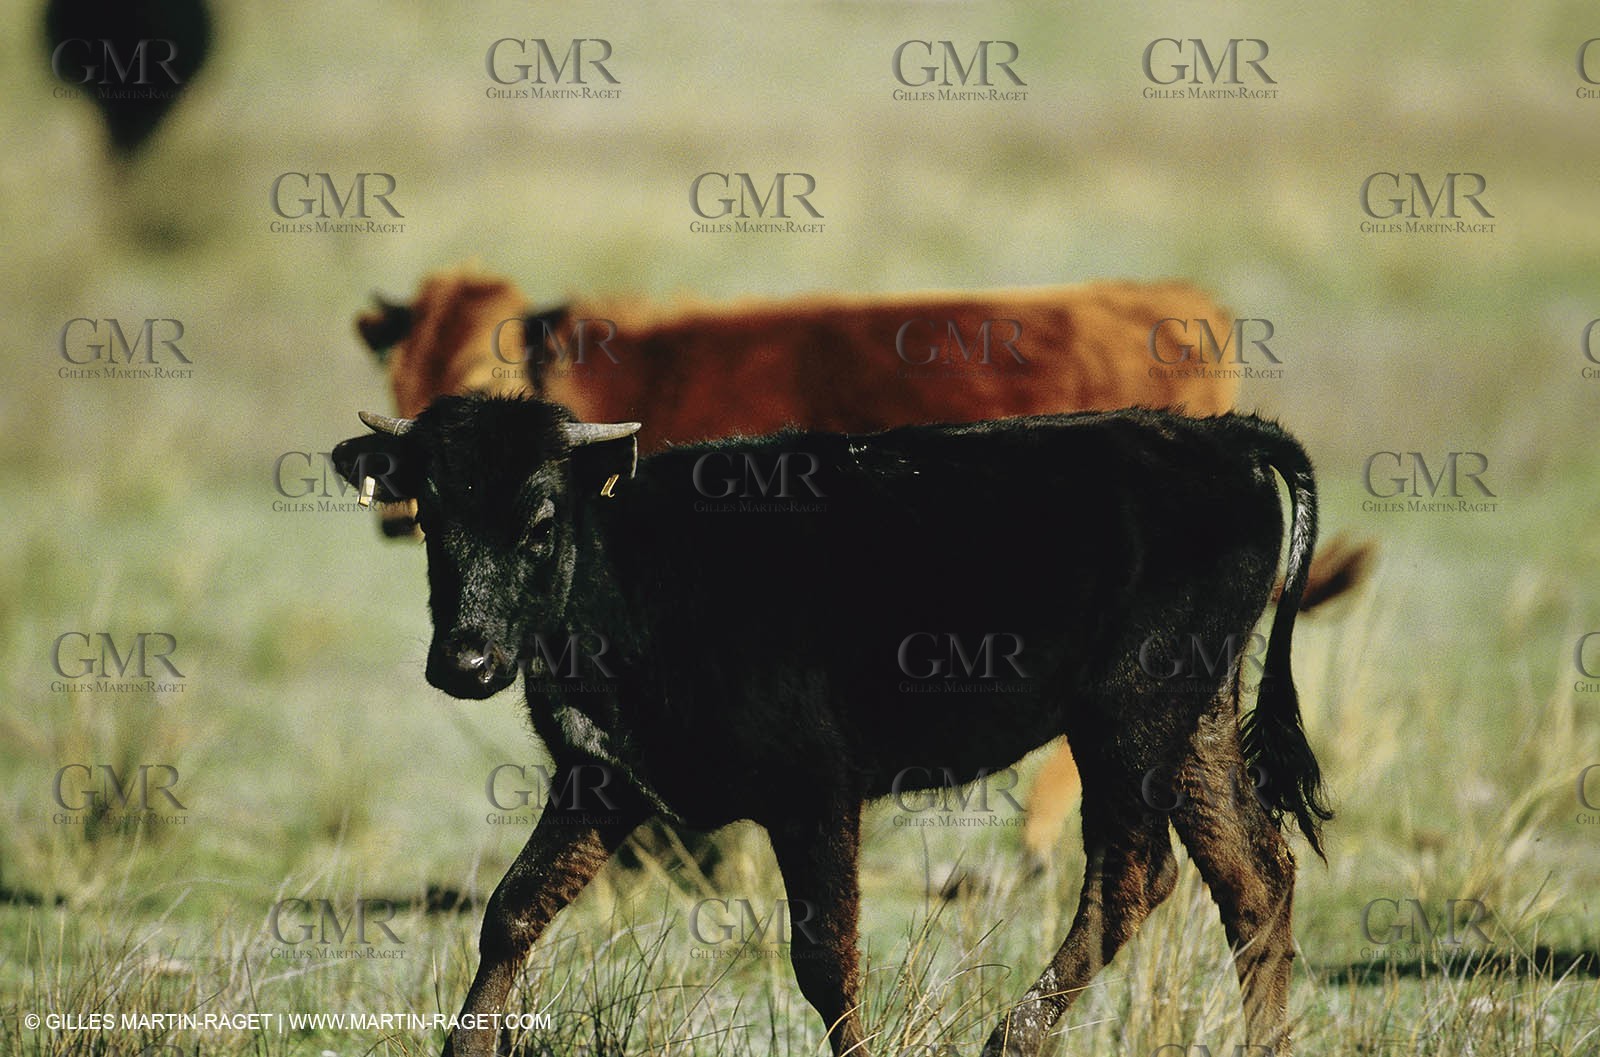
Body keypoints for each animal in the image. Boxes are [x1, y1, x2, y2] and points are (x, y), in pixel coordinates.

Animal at [332, 395, 1332, 1057]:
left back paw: (1010, 1035)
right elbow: (513, 909)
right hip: (1195, 721)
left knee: (1132, 875)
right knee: (1254, 874)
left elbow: (826, 958)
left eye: (541, 517)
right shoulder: (601, 781)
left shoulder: (811, 790)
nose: (465, 661)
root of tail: (1215, 435)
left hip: (1128, 718)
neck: (635, 569)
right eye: (429, 514)